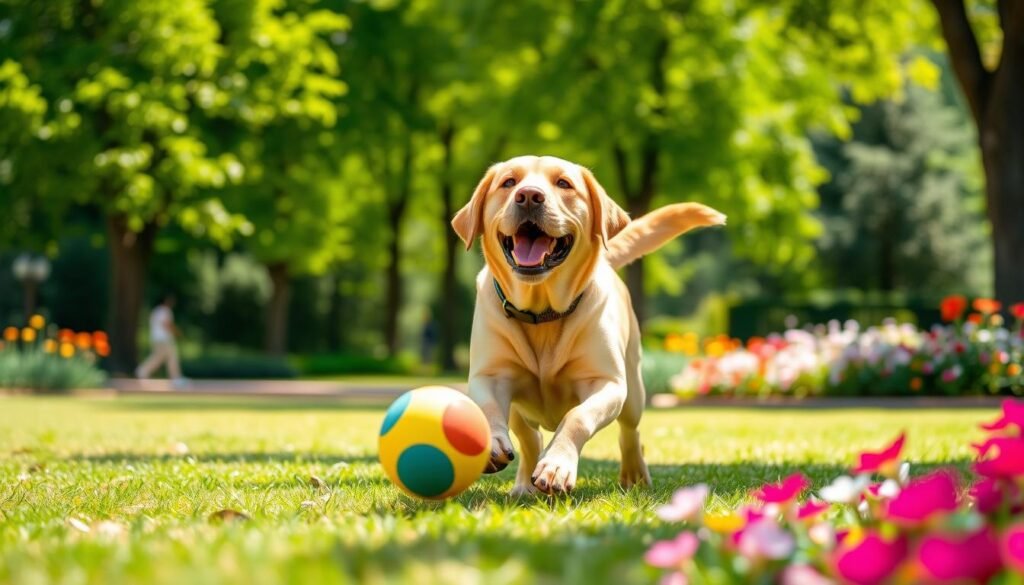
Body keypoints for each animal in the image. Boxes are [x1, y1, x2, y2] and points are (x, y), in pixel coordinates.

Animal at [452, 154, 724, 493]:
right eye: (509, 182)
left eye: (564, 183)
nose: (528, 196)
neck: (542, 312)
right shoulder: (490, 375)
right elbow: (491, 409)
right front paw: (494, 444)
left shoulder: (607, 384)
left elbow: (577, 417)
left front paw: (556, 466)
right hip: (519, 408)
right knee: (529, 436)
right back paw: (524, 482)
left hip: (633, 390)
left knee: (630, 432)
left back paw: (634, 474)